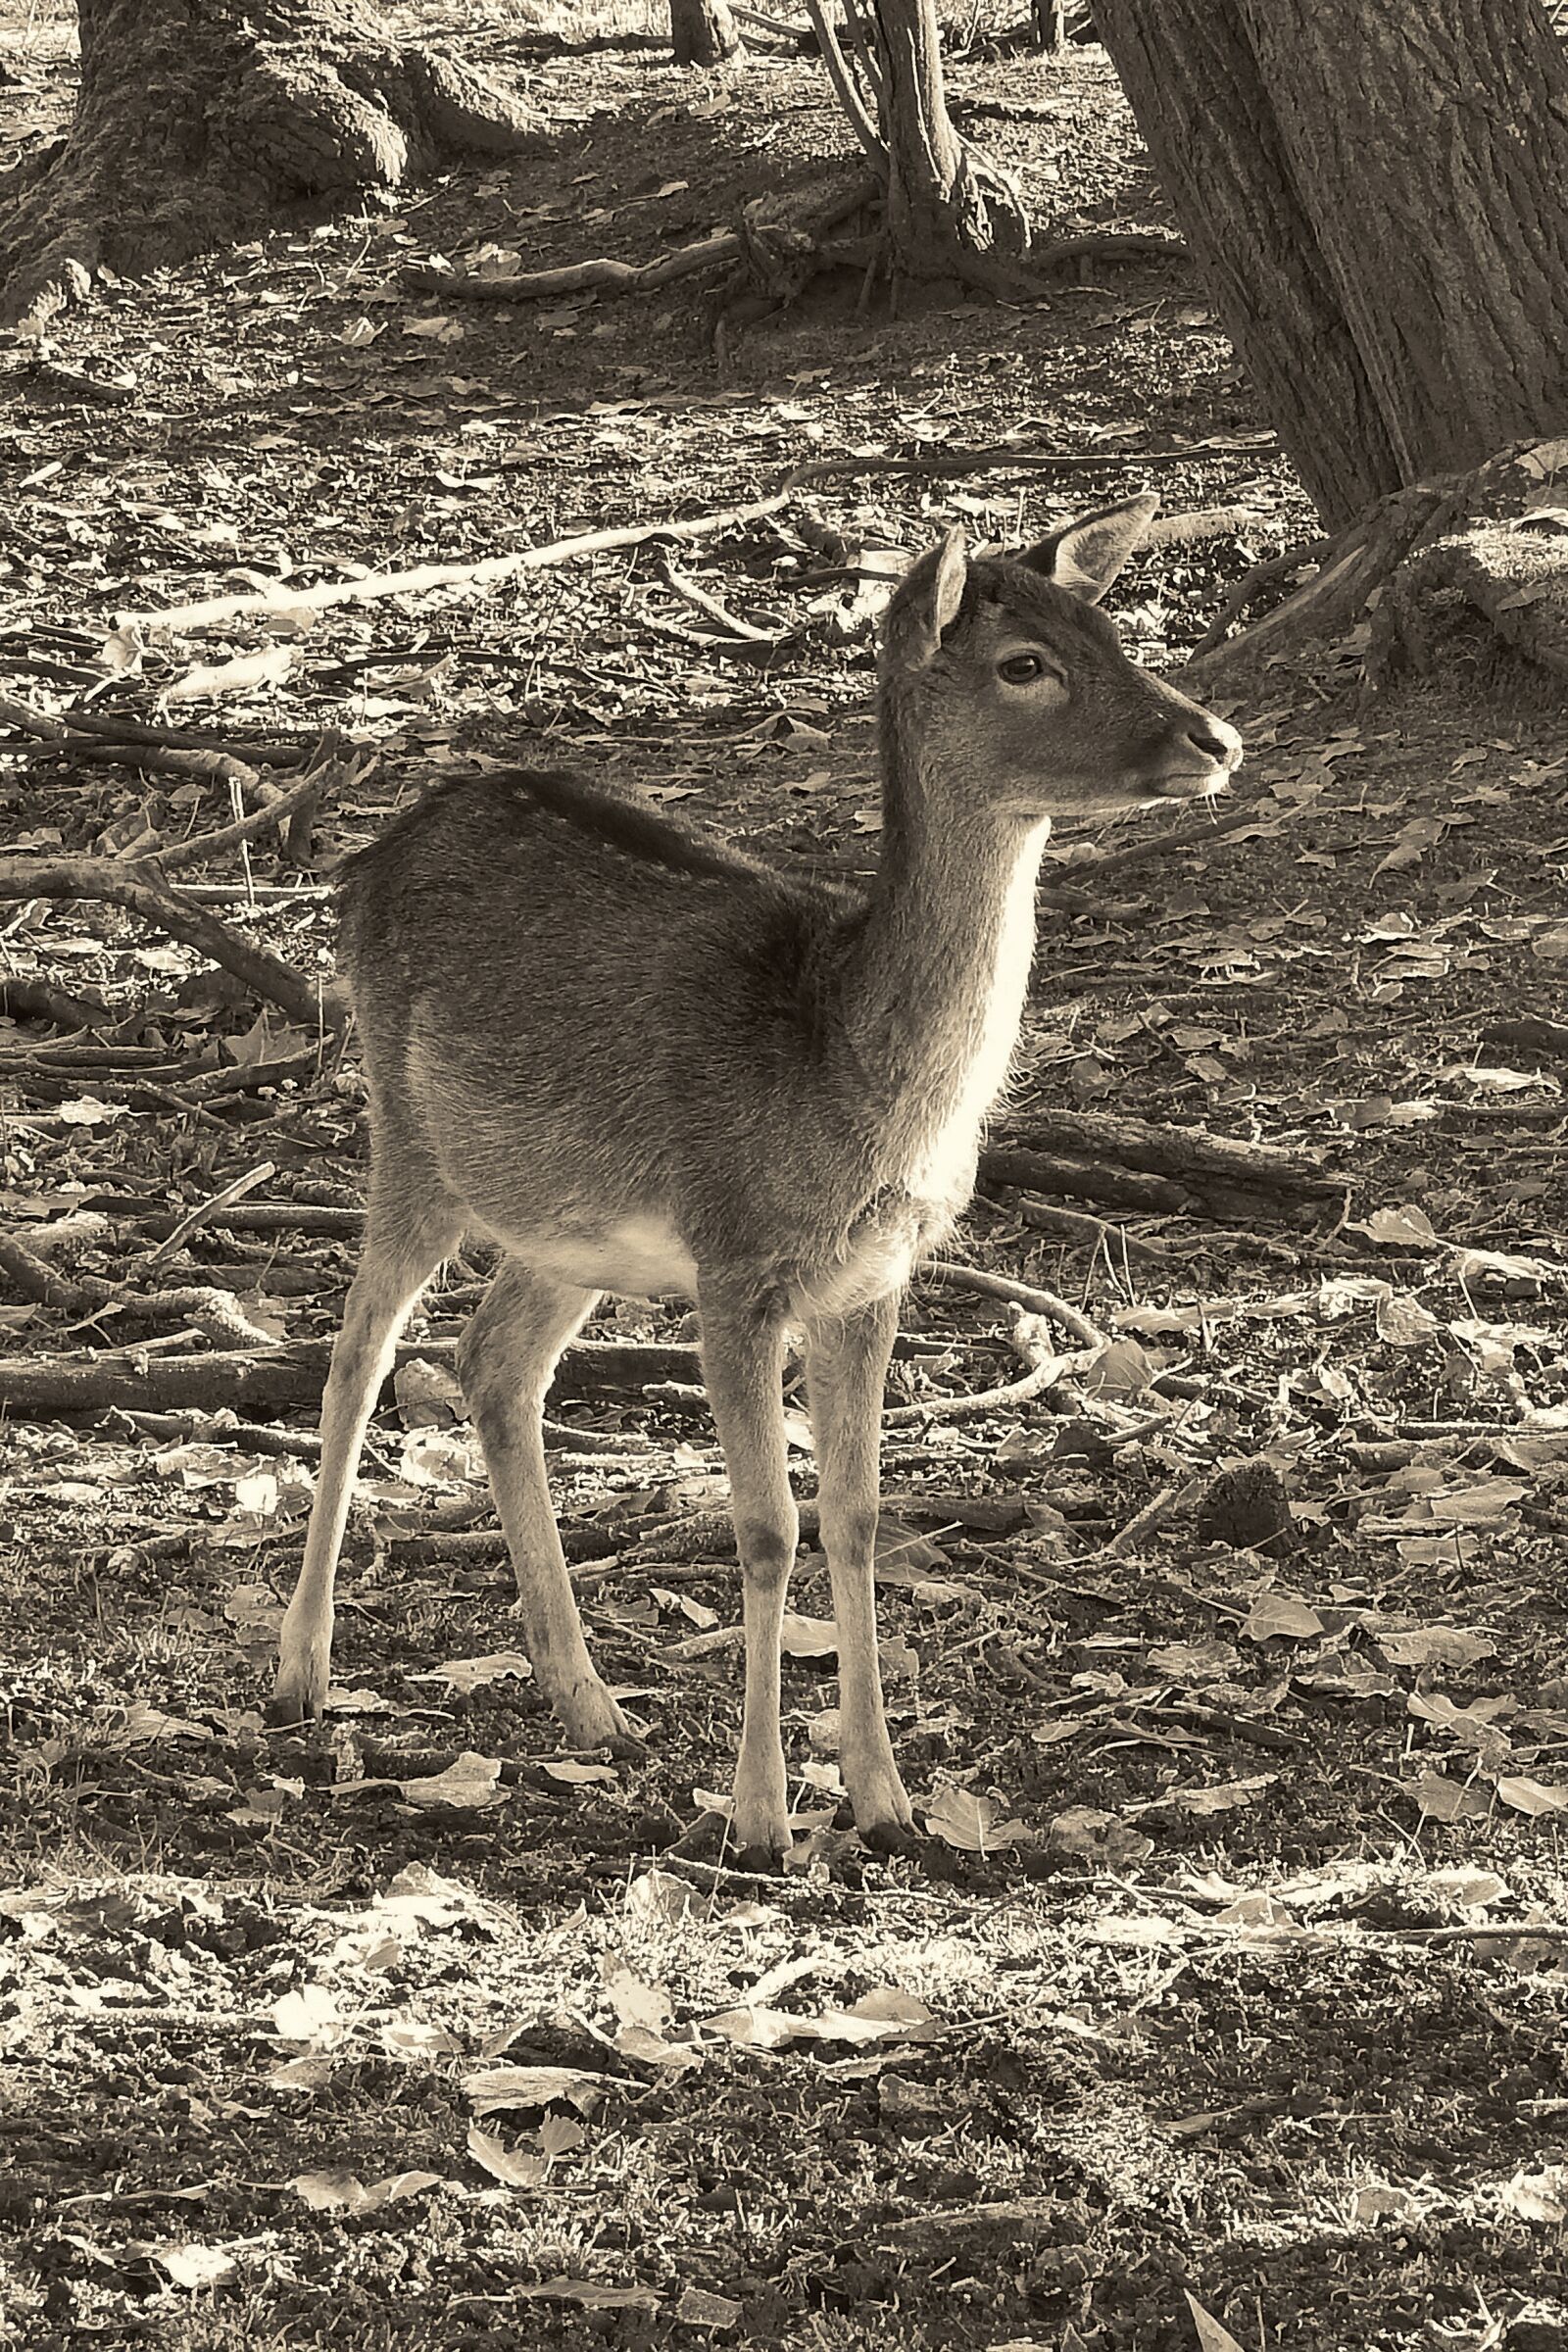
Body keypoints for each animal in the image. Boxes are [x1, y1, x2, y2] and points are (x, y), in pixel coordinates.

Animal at [266, 492, 1242, 1867]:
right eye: (1024, 663)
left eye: (1109, 626)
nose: (1214, 737)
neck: (851, 1083)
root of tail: (367, 856)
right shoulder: (737, 1262)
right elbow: (768, 1528)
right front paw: (759, 1818)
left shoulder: (875, 1277)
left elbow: (860, 1514)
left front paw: (887, 1805)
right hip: (409, 1133)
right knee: (357, 1349)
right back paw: (300, 1672)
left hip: (566, 1221)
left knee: (491, 1362)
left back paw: (590, 1704)